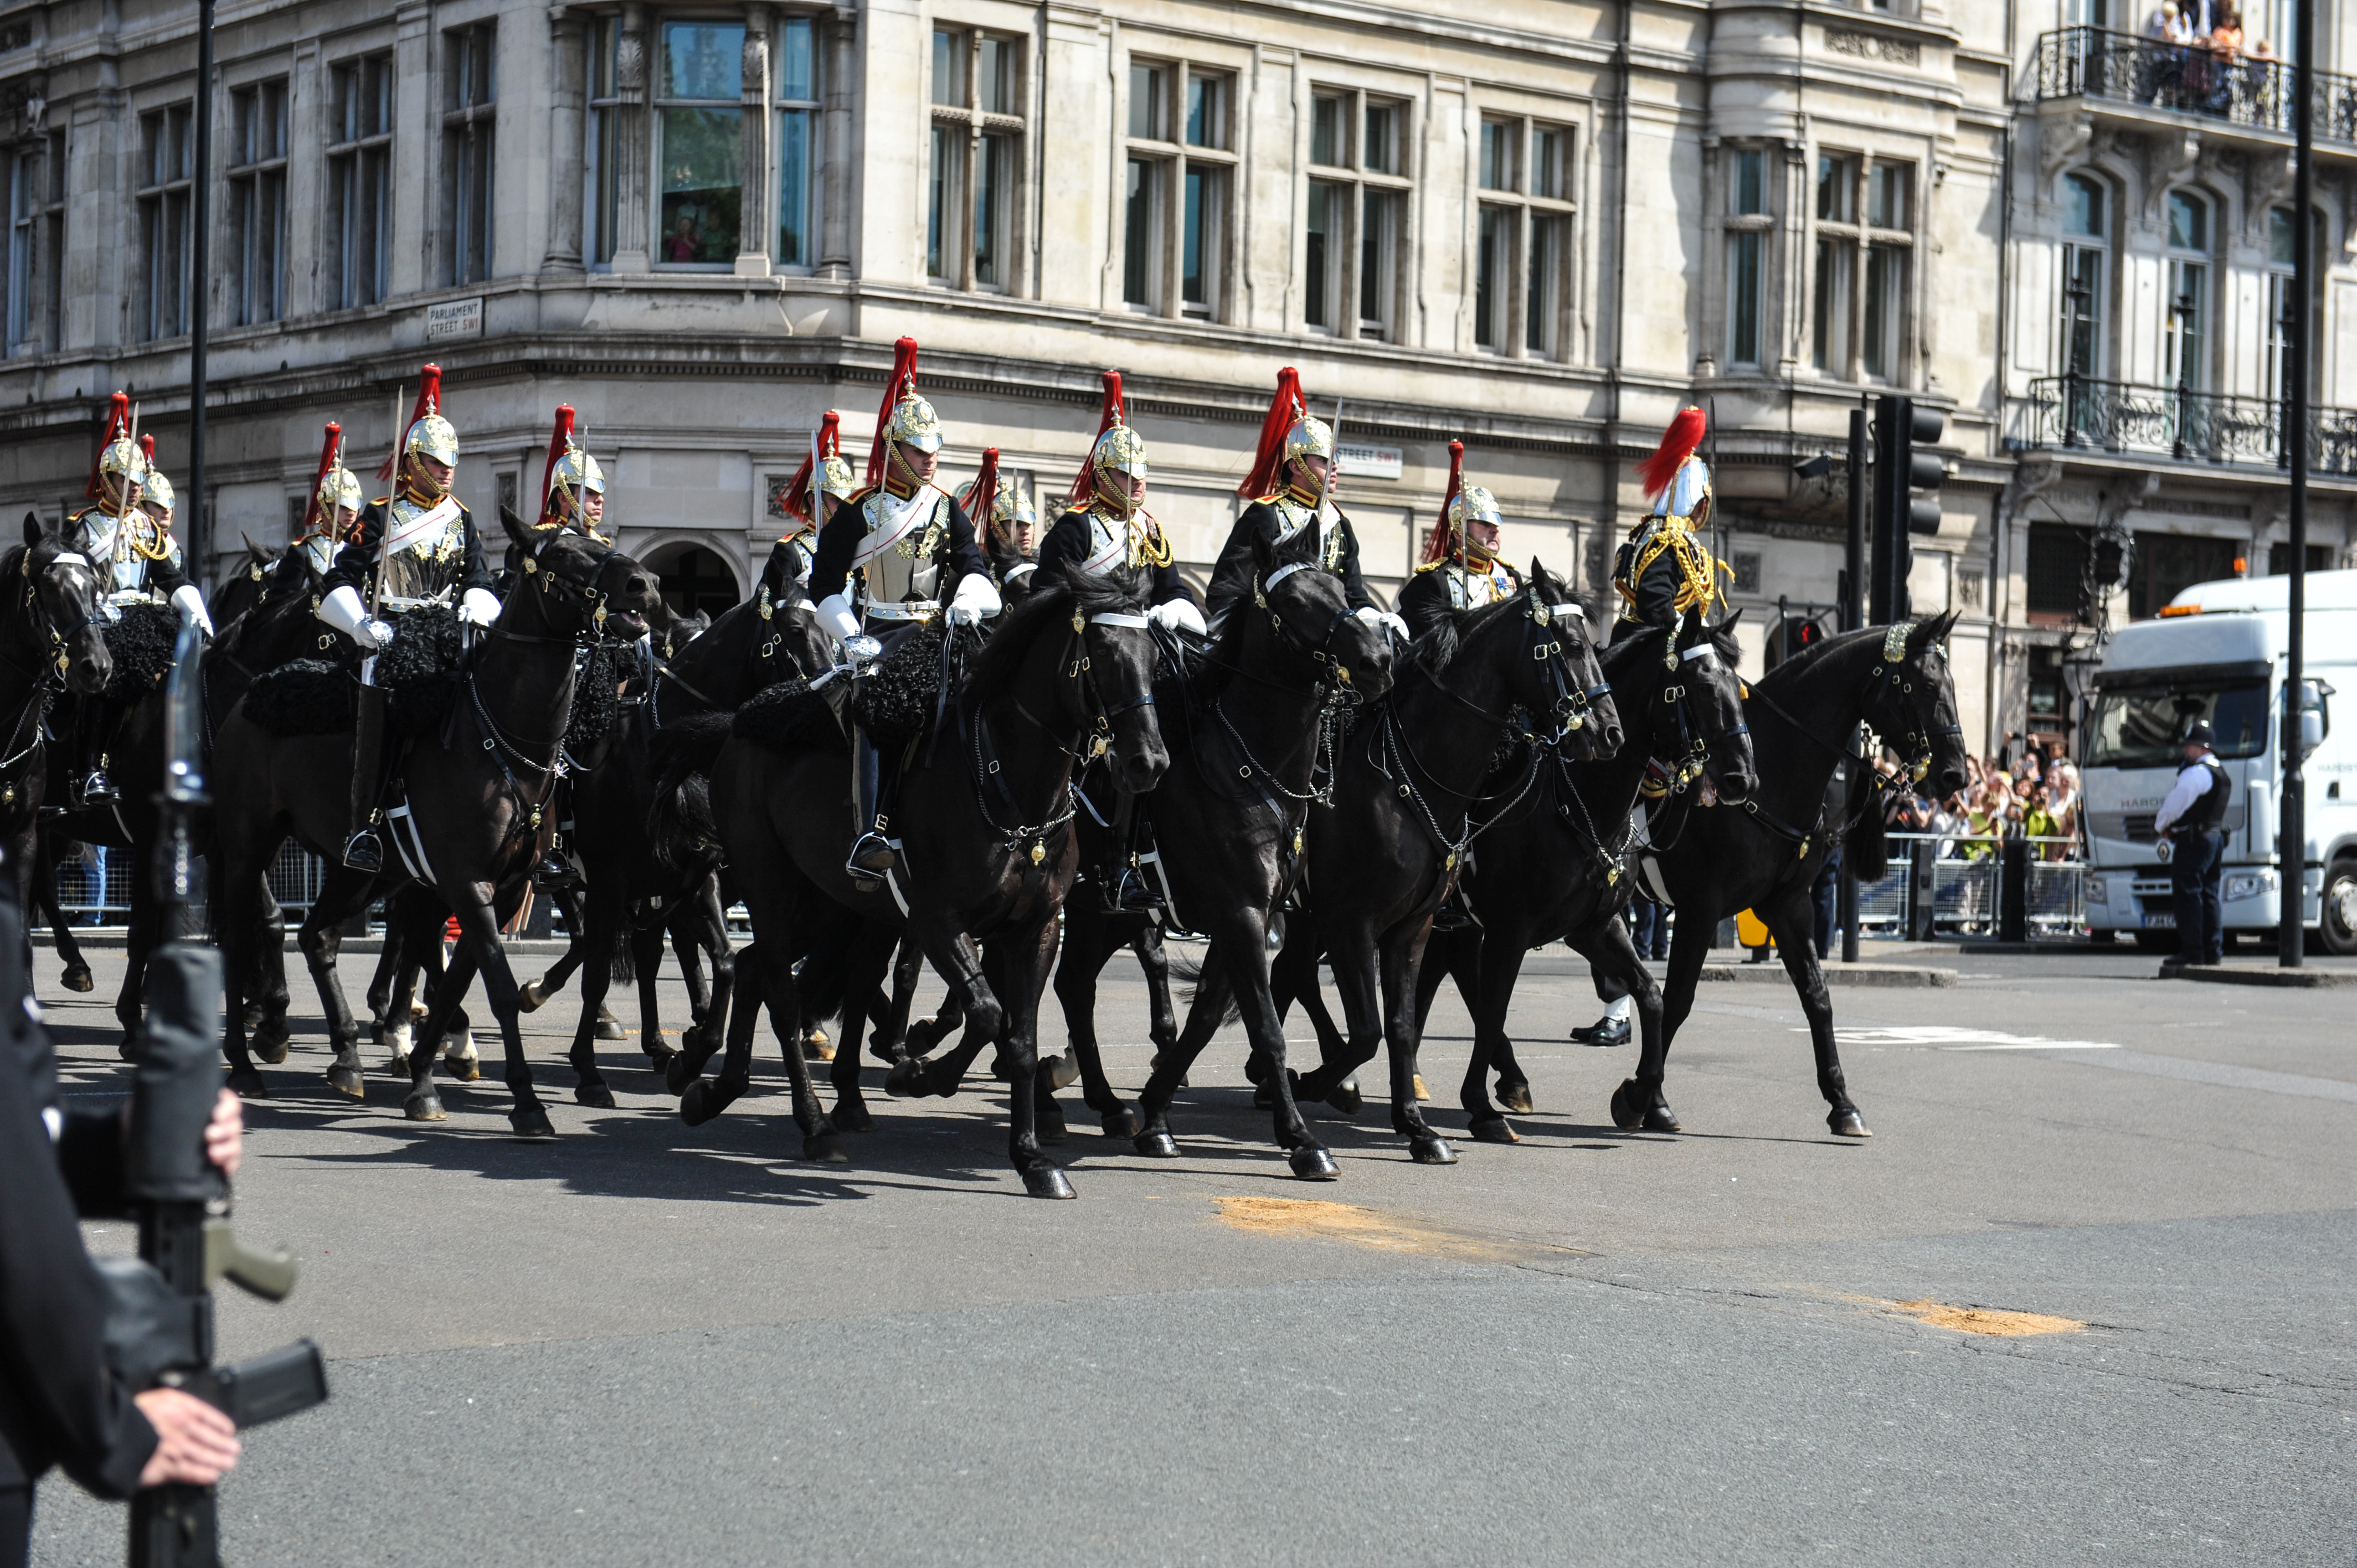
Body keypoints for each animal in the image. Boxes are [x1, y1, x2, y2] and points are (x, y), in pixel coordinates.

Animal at [210, 507, 660, 1117]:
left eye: (601, 543)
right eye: (565, 555)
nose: (646, 584)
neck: (499, 737)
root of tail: (250, 695)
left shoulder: (506, 887)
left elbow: (457, 981)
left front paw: (426, 1072)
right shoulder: (466, 881)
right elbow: (496, 986)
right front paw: (524, 1098)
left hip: (360, 870)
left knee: (318, 938)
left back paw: (347, 1058)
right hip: (249, 843)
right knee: (242, 939)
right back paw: (246, 1060)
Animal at [655, 568, 1169, 1193]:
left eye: (1155, 658)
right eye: (1103, 653)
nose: (1148, 763)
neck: (1008, 786)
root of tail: (739, 724)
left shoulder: (1036, 928)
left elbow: (1019, 1037)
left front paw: (1031, 1158)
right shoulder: (937, 920)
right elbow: (986, 1012)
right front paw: (920, 1075)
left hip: (830, 905)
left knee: (756, 967)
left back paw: (714, 1089)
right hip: (773, 889)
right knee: (779, 991)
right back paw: (813, 1123)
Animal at [1046, 518, 1386, 1169]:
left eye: (1338, 588)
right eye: (1293, 601)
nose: (1377, 659)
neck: (1247, 770)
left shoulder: (1252, 916)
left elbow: (1205, 1019)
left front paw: (1156, 1114)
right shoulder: (1242, 914)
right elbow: (1266, 1027)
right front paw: (1301, 1139)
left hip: (1102, 915)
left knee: (1073, 985)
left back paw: (1103, 1101)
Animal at [1404, 608, 1763, 1136]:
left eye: (1737, 686)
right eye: (1701, 684)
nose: (1743, 778)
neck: (1581, 804)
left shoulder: (1595, 927)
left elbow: (1653, 996)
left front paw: (1642, 1099)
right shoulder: (1512, 930)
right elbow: (1493, 1007)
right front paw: (1479, 1106)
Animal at [1622, 613, 1970, 1136]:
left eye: (1951, 684)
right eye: (1928, 685)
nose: (1956, 775)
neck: (1770, 775)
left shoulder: (1790, 906)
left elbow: (1817, 997)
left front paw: (1843, 1104)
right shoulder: (1700, 909)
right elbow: (1677, 999)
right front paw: (1647, 1098)